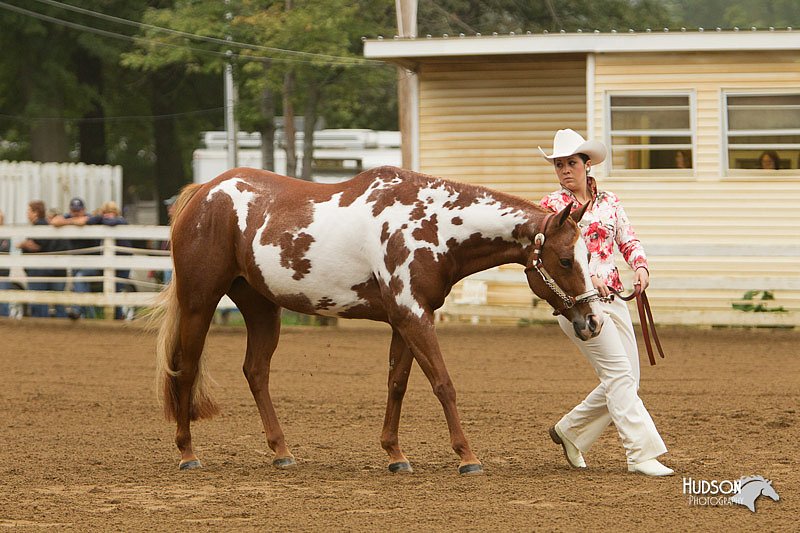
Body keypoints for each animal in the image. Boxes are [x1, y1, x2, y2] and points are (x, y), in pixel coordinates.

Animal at [153, 165, 604, 474]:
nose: (593, 320)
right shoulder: (413, 316)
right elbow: (443, 384)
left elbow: (397, 385)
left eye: (588, 254)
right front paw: (467, 456)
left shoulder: (404, 319)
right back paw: (187, 452)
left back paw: (281, 451)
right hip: (198, 303)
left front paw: (395, 453)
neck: (432, 224)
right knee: (185, 369)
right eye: (566, 260)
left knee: (256, 371)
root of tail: (204, 192)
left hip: (262, 309)